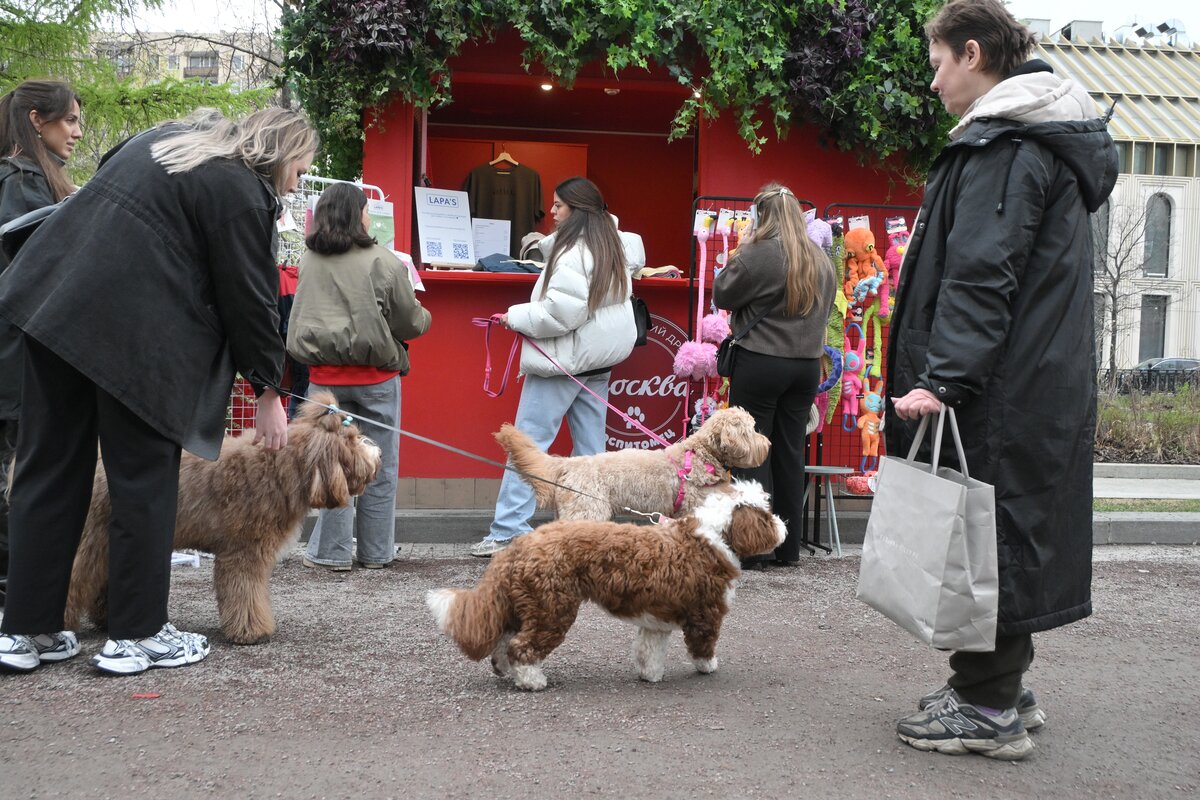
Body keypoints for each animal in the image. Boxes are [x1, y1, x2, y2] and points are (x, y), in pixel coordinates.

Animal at [65, 392, 381, 645]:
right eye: (352, 440)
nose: (377, 454)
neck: (280, 470)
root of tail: (100, 462)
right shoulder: (244, 551)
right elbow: (245, 592)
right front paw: (252, 631)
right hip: (95, 536)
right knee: (76, 574)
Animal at [426, 479, 785, 690]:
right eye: (768, 514)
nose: (784, 526)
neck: (712, 535)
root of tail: (519, 545)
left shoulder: (656, 617)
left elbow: (649, 650)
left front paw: (650, 675)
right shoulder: (706, 612)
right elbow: (703, 644)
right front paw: (707, 667)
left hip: (530, 603)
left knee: (504, 641)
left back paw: (507, 671)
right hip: (552, 608)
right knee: (521, 647)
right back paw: (532, 680)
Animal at [494, 406, 770, 520]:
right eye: (751, 430)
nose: (768, 443)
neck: (701, 454)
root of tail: (571, 464)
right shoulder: (694, 507)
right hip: (587, 510)